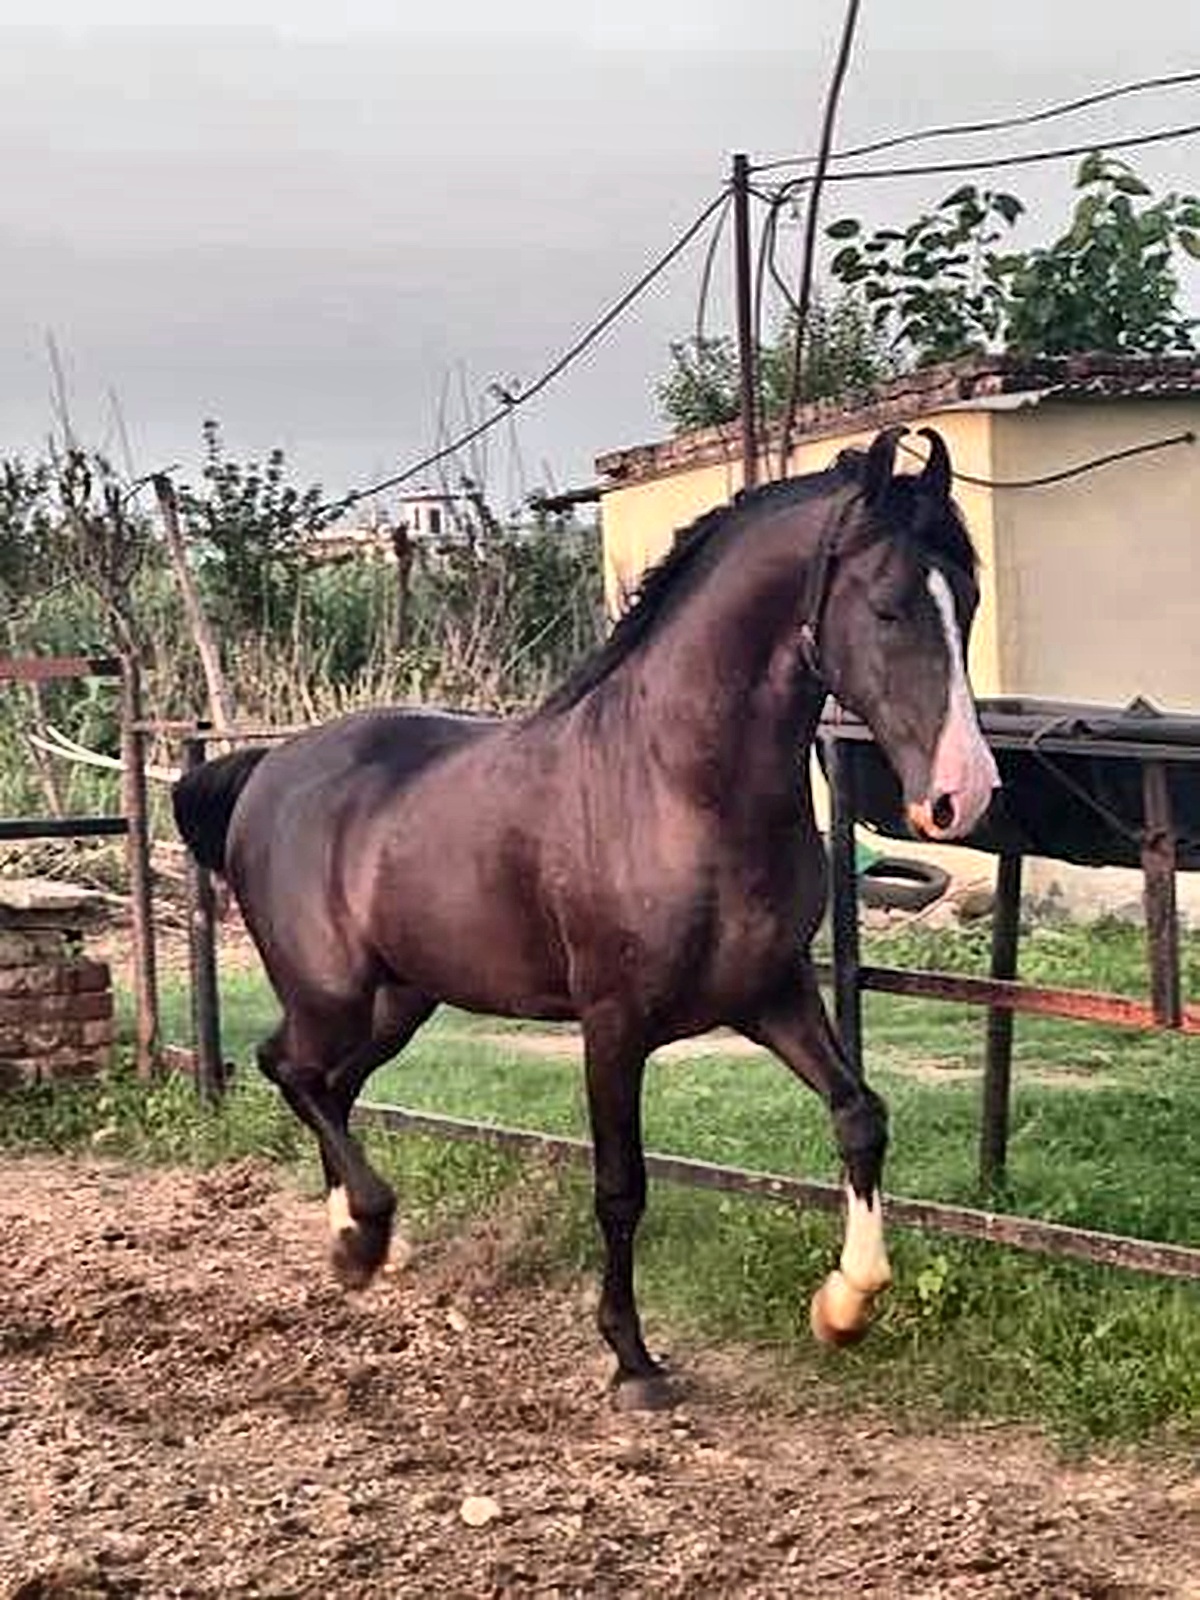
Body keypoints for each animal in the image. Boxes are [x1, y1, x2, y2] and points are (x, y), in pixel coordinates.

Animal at [172, 424, 999, 1410]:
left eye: (970, 599)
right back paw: (366, 1234)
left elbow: (860, 1115)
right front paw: (633, 1361)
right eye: (886, 608)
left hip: (401, 1000)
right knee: (289, 1068)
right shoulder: (613, 1024)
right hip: (331, 991)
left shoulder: (772, 994)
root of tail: (269, 768)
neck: (677, 785)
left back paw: (362, 1245)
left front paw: (843, 1305)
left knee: (327, 1082)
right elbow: (621, 1188)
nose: (963, 795)